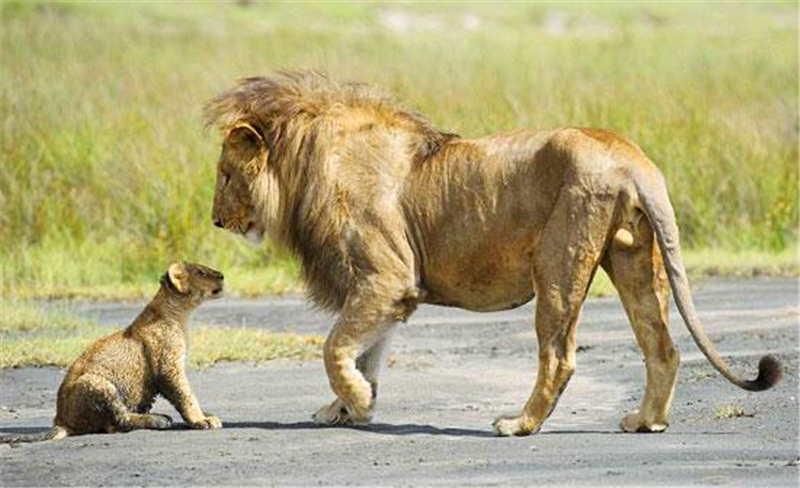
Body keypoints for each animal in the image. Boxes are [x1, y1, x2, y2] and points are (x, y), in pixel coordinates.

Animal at [206, 70, 780, 436]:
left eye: (225, 176)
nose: (214, 220)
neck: (304, 163)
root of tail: (630, 155)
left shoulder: (386, 277)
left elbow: (335, 347)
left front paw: (358, 402)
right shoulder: (389, 292)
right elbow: (365, 352)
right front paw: (345, 408)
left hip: (558, 264)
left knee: (559, 356)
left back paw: (519, 425)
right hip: (635, 259)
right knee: (662, 347)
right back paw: (646, 422)